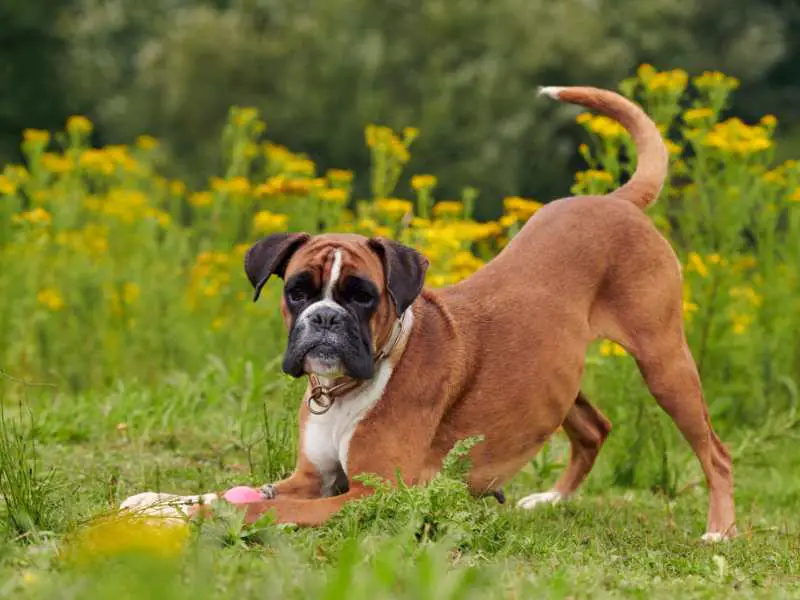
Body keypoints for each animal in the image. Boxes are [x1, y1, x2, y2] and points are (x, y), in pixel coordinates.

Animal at [120, 86, 736, 540]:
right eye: (298, 291)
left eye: (362, 295)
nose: (324, 319)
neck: (348, 387)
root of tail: (616, 201)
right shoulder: (309, 478)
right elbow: (231, 489)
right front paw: (156, 501)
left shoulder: (369, 493)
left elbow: (250, 507)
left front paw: (184, 518)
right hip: (557, 377)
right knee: (594, 427)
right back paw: (550, 500)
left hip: (664, 362)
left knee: (717, 452)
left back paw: (719, 531)